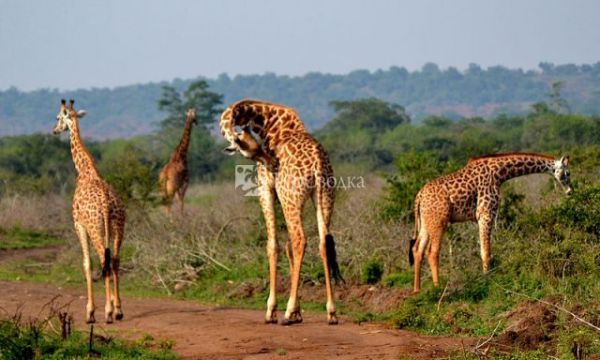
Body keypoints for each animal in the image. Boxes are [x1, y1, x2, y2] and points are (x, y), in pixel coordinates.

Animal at [52, 99, 126, 324]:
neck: (84, 169)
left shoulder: (79, 225)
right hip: (119, 228)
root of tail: (107, 205)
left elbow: (87, 263)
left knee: (104, 259)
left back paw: (108, 312)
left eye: (58, 117)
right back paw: (118, 310)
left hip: (96, 229)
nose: (54, 130)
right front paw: (110, 308)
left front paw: (90, 312)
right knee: (115, 260)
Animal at [220, 99, 342, 326]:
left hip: (290, 199)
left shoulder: (266, 191)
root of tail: (318, 164)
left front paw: (273, 311)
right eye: (246, 146)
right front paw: (298, 313)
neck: (272, 124)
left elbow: (273, 245)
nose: (272, 163)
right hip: (324, 197)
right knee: (322, 242)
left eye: (256, 145)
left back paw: (286, 313)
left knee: (300, 239)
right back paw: (331, 312)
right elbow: (286, 246)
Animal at [410, 152, 576, 292]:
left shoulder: (482, 216)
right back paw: (437, 287)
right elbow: (486, 251)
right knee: (432, 252)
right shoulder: (486, 213)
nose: (570, 192)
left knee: (417, 249)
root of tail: (419, 196)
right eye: (567, 173)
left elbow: (484, 249)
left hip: (426, 222)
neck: (499, 174)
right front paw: (486, 280)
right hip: (439, 221)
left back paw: (417, 290)